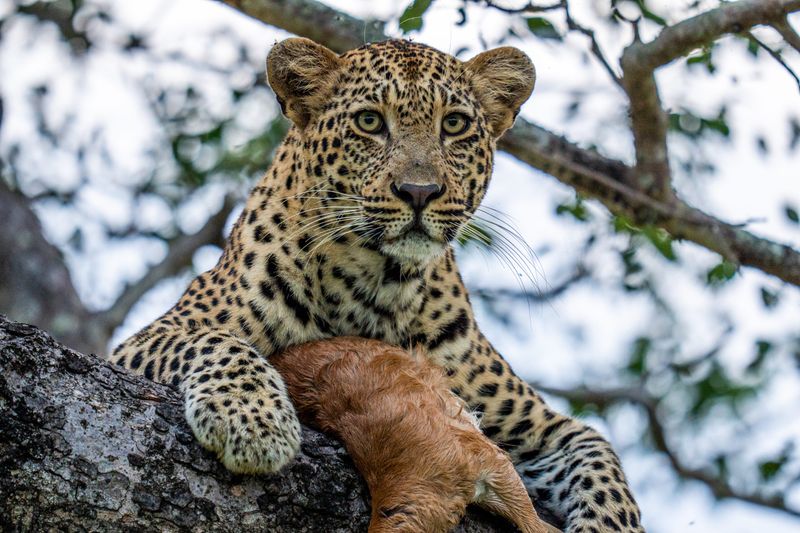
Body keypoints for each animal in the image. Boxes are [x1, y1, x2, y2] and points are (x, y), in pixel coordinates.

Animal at [111, 37, 644, 532]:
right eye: (369, 122)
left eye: (454, 125)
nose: (419, 192)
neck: (379, 283)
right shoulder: (150, 338)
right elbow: (216, 342)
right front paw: (252, 418)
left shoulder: (545, 431)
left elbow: (607, 480)